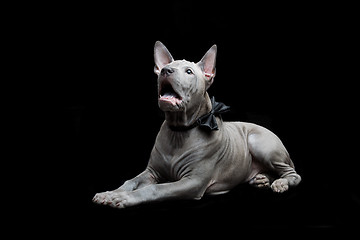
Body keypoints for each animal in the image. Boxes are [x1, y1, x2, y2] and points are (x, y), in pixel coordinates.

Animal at [92, 40, 300, 208]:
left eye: (189, 71)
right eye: (166, 67)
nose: (166, 70)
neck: (179, 131)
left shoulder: (192, 183)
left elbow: (155, 189)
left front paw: (124, 198)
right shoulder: (152, 172)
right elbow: (131, 181)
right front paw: (111, 193)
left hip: (260, 143)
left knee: (293, 174)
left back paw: (280, 183)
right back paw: (262, 179)